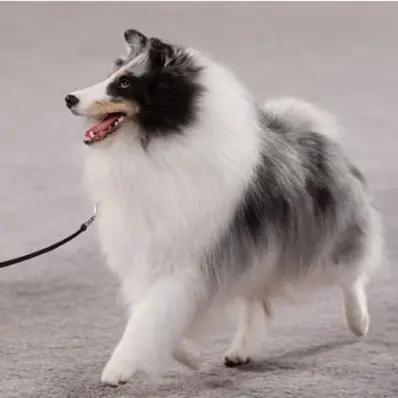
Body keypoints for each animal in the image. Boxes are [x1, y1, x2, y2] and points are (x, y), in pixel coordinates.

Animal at [64, 29, 382, 384]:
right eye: (112, 74)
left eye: (124, 83)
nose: (69, 98)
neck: (154, 145)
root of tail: (309, 129)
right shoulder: (148, 257)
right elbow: (155, 317)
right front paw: (191, 357)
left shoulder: (186, 260)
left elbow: (150, 318)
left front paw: (117, 368)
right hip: (261, 253)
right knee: (259, 304)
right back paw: (240, 351)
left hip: (323, 240)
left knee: (351, 274)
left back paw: (359, 322)